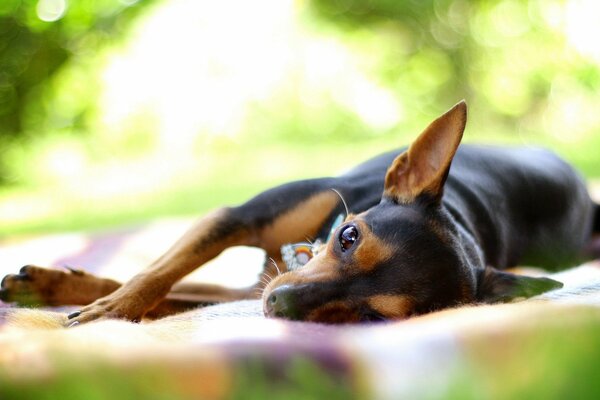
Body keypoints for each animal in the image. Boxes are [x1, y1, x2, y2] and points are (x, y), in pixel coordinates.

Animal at [1, 101, 600, 324]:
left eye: (371, 316)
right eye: (349, 236)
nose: (278, 304)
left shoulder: (256, 285)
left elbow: (171, 294)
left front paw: (82, 296)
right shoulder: (235, 218)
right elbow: (157, 274)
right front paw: (99, 304)